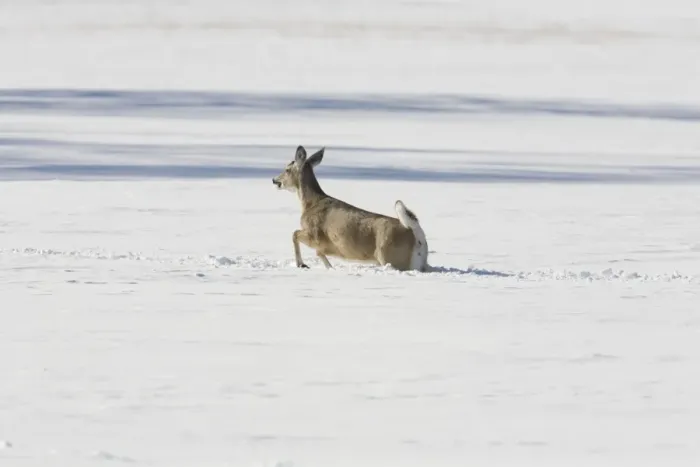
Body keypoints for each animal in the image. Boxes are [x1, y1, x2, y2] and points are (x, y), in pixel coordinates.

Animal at [272, 145, 429, 272]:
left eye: (287, 169)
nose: (274, 180)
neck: (310, 203)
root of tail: (416, 233)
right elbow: (318, 251)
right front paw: (328, 267)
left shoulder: (314, 234)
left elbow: (295, 234)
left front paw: (302, 264)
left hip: (390, 257)